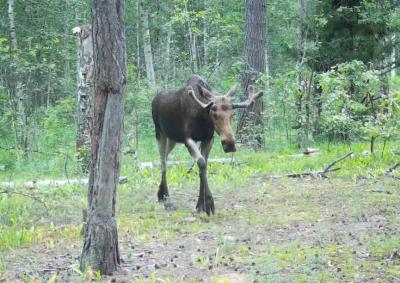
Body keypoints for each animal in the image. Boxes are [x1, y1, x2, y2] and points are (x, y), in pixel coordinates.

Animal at [151, 75, 262, 215]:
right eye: (213, 112)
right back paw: (167, 201)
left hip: (173, 139)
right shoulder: (188, 139)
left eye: (232, 114)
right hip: (160, 133)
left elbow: (203, 165)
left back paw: (161, 194)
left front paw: (200, 205)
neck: (202, 119)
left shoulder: (208, 139)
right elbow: (201, 162)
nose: (230, 144)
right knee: (163, 162)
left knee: (165, 157)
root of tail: (154, 99)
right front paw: (209, 203)